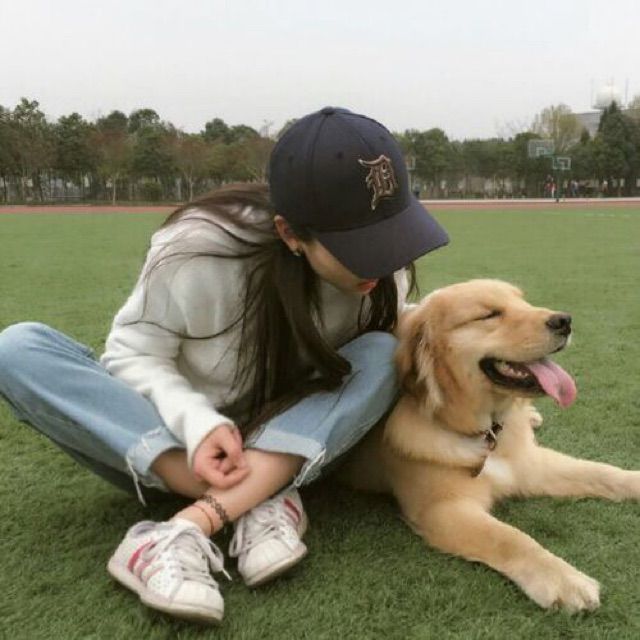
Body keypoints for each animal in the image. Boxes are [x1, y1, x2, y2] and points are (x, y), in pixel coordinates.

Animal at [341, 279, 640, 612]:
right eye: (489, 314)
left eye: (523, 302)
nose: (565, 320)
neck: (486, 433)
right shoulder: (443, 509)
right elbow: (509, 537)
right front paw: (562, 578)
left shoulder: (528, 463)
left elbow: (600, 471)